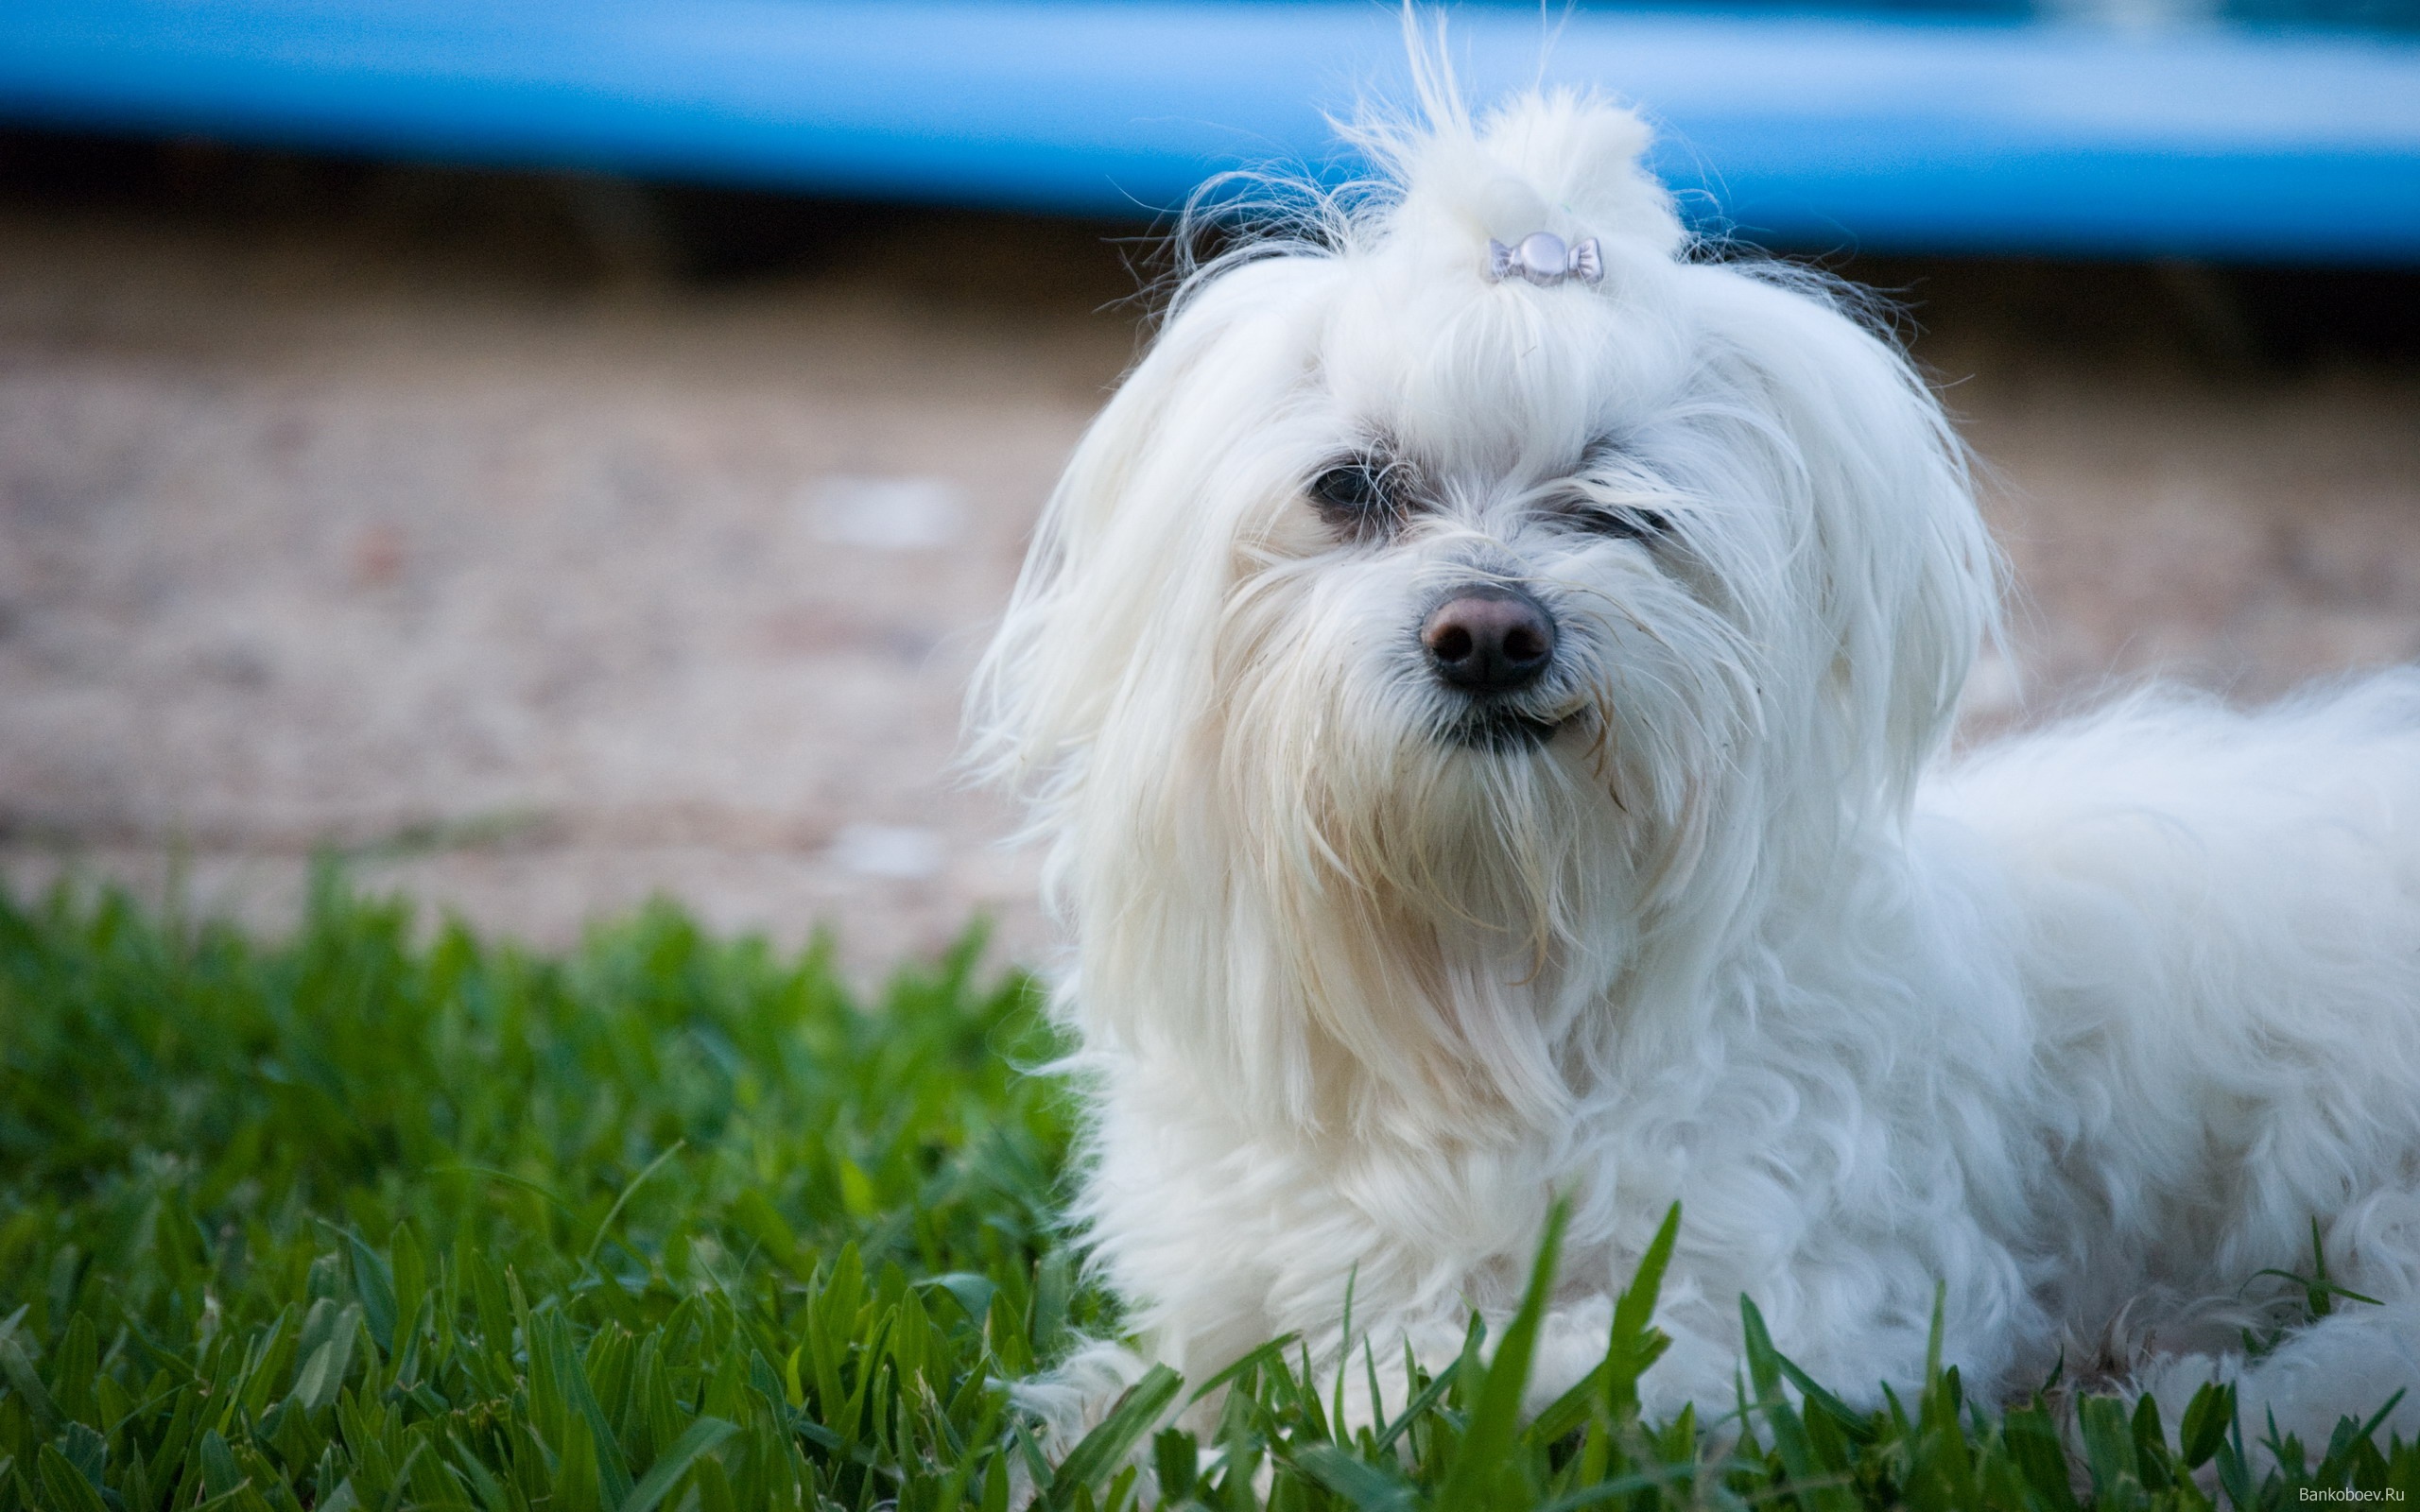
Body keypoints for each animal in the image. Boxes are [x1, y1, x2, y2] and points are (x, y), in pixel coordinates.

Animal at [962, 64, 2420, 1441]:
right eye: (1352, 488)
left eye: (1621, 508)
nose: (1492, 633)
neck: (1491, 1001)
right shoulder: (1227, 1298)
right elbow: (1166, 1388)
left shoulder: (1791, 1314)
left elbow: (1467, 1381)